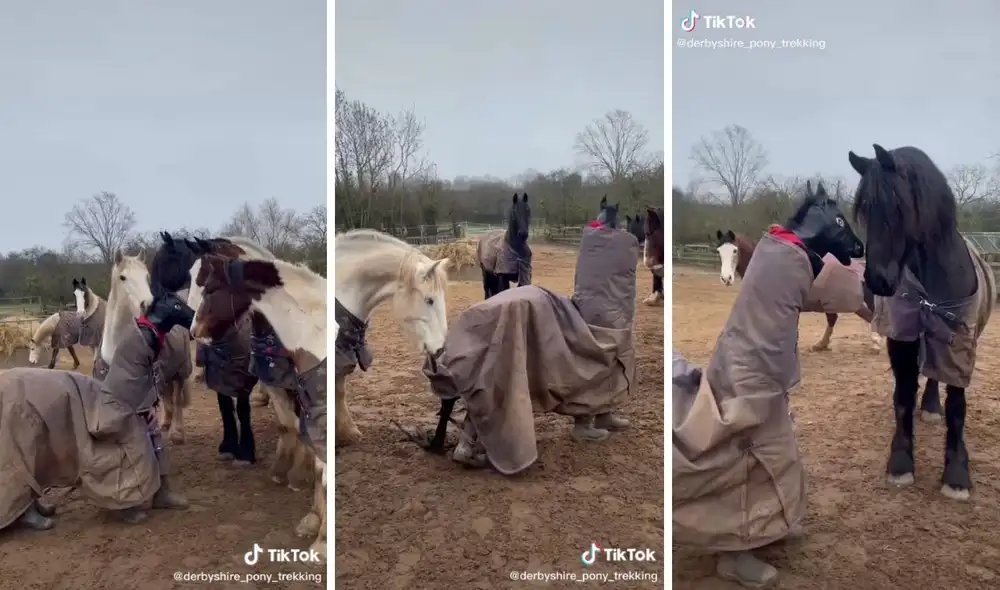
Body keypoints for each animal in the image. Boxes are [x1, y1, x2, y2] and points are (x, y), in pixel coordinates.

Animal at [849, 144, 995, 502]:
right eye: (863, 211)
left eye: (897, 206)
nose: (877, 281)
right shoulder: (902, 340)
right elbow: (903, 397)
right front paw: (900, 463)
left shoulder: (961, 345)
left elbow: (956, 406)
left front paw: (956, 475)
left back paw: (931, 407)